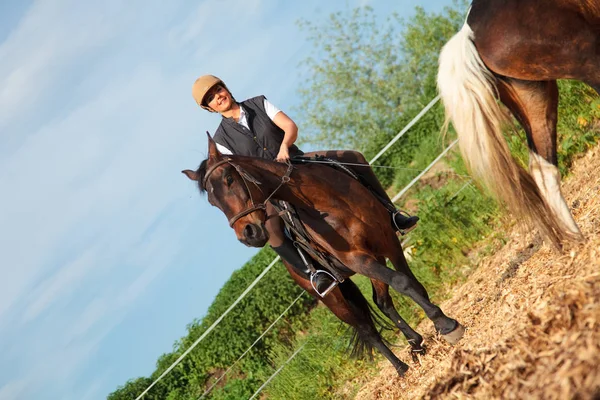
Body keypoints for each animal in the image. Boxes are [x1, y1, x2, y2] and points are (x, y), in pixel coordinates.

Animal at [185, 137, 466, 376]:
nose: (248, 235)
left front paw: (444, 323)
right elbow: (402, 283)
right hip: (332, 296)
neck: (327, 201)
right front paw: (447, 326)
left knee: (382, 301)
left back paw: (416, 343)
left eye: (229, 179)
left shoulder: (388, 242)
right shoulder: (357, 259)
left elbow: (410, 283)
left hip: (374, 259)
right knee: (365, 328)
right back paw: (401, 368)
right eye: (212, 201)